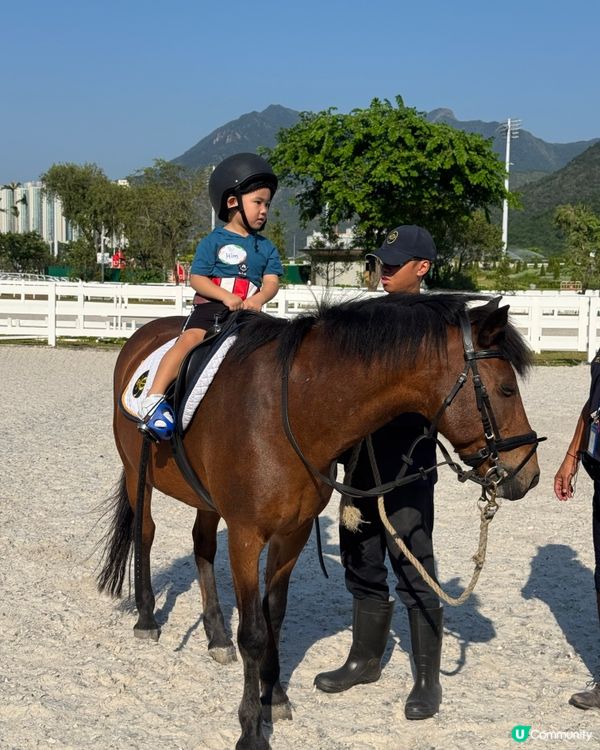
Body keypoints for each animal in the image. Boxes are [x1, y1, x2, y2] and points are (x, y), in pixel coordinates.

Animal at [97, 292, 541, 750]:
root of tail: (145, 333)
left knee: (202, 545)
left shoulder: (290, 534)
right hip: (136, 475)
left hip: (206, 499)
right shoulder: (246, 536)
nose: (529, 473)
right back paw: (147, 617)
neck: (292, 408)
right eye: (506, 389)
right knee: (145, 534)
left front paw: (274, 697)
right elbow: (253, 632)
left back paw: (216, 636)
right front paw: (250, 728)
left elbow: (274, 617)